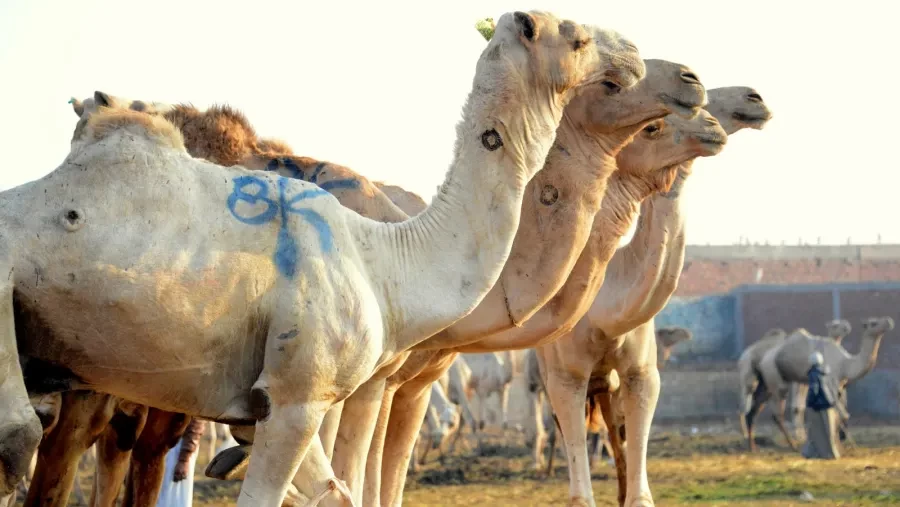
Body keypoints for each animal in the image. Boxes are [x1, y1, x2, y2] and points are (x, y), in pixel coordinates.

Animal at [0, 11, 617, 507]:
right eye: (578, 38)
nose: (628, 57)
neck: (385, 261)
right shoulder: (299, 396)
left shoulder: (279, 400)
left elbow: (334, 492)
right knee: (23, 439)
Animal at [535, 86, 773, 507]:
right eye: (653, 125)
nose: (754, 97)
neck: (605, 307)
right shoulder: (566, 375)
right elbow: (581, 488)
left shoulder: (642, 370)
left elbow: (639, 486)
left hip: (606, 386)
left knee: (615, 437)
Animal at [747, 317, 894, 453]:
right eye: (873, 323)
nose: (889, 321)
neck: (846, 363)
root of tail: (763, 359)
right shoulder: (830, 383)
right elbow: (842, 413)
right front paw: (840, 441)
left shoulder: (839, 385)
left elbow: (840, 413)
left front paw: (840, 440)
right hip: (774, 377)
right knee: (777, 412)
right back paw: (793, 445)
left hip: (766, 382)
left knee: (754, 408)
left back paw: (753, 446)